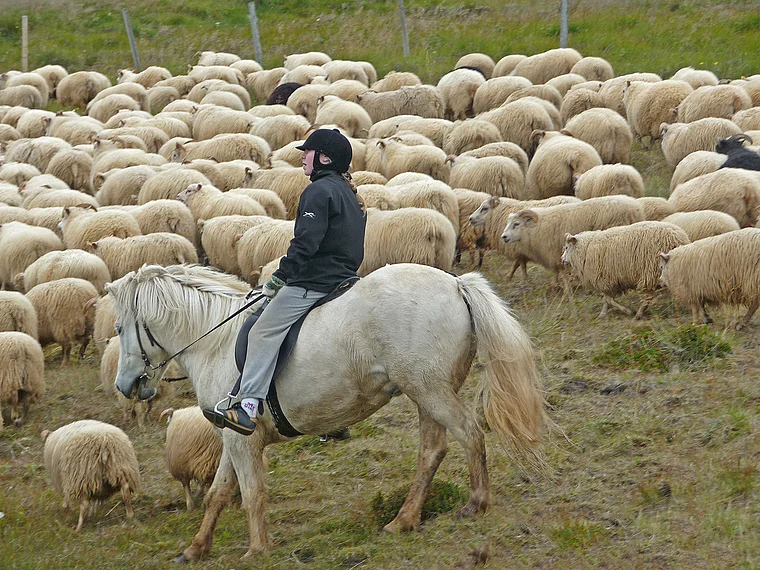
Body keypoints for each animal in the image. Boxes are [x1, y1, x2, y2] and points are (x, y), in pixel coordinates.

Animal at [106, 263, 545, 561]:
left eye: (118, 328)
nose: (125, 387)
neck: (214, 340)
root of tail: (455, 284)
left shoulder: (240, 441)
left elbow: (252, 494)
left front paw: (258, 549)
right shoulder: (233, 437)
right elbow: (218, 494)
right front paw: (196, 549)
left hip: (431, 391)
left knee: (470, 433)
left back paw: (476, 503)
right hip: (426, 394)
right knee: (432, 451)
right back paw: (403, 520)